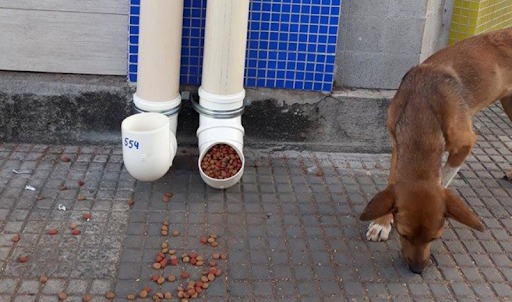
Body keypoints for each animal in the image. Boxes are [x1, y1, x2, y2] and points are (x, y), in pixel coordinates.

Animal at [360, 26, 512, 274]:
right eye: (403, 234)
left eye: (435, 238)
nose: (417, 269)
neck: (423, 108)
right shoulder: (397, 143)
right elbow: (392, 181)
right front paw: (382, 223)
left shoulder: (466, 142)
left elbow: (444, 178)